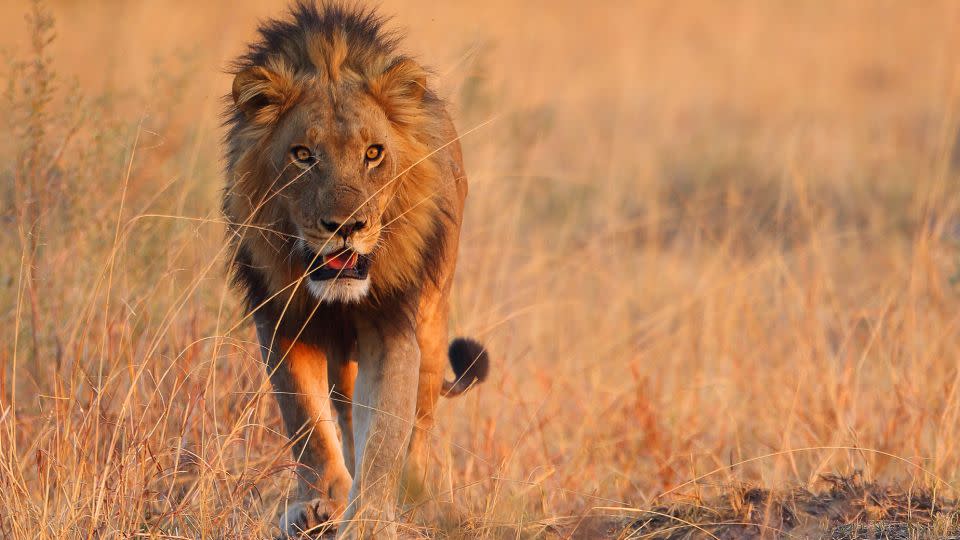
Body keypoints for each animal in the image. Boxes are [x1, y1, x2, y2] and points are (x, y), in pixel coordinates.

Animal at [222, 2, 492, 536]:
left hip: (434, 329)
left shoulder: (392, 327)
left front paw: (370, 517)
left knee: (419, 422)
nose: (347, 227)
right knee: (344, 414)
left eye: (373, 154)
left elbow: (386, 431)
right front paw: (320, 504)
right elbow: (306, 422)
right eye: (303, 155)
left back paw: (415, 495)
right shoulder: (280, 322)